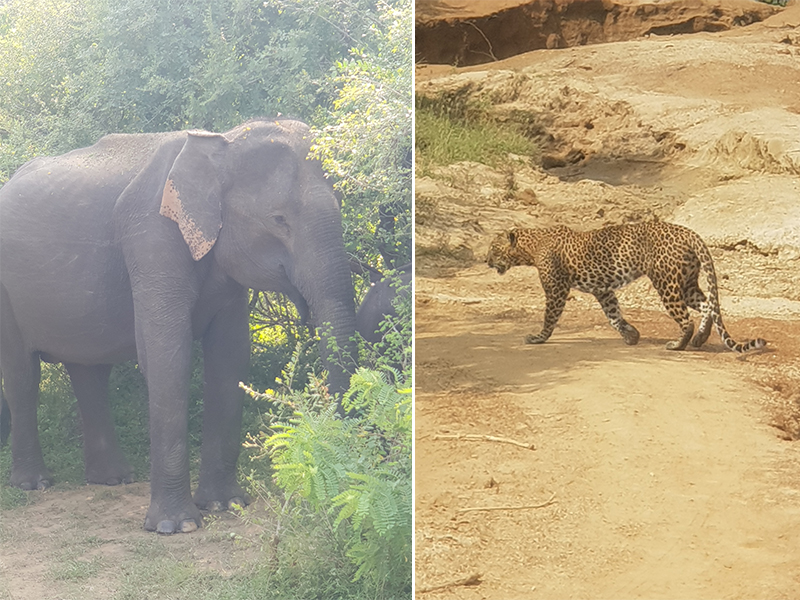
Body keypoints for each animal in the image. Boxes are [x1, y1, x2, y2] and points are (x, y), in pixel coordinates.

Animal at [0, 118, 356, 536]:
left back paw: (113, 479)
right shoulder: (152, 237)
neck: (222, 144)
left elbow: (230, 356)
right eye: (278, 220)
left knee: (90, 373)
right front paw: (177, 526)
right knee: (23, 376)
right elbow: (167, 355)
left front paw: (225, 505)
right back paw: (33, 484)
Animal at [484, 219, 764, 352]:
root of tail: (688, 232)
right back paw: (700, 339)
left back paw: (679, 344)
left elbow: (549, 317)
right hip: (686, 282)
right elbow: (613, 314)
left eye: (494, 248)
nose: (486, 260)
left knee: (686, 318)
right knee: (707, 305)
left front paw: (538, 338)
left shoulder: (556, 289)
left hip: (666, 282)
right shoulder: (602, 290)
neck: (531, 246)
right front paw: (631, 335)